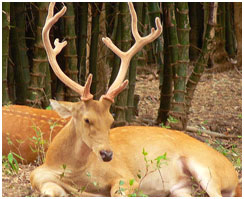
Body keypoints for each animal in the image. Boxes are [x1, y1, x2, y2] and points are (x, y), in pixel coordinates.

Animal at [29, 2, 241, 197]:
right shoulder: (37, 175)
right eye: (87, 119)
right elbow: (50, 190)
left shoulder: (126, 177)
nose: (107, 154)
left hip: (206, 168)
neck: (70, 169)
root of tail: (234, 174)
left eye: (111, 120)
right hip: (181, 188)